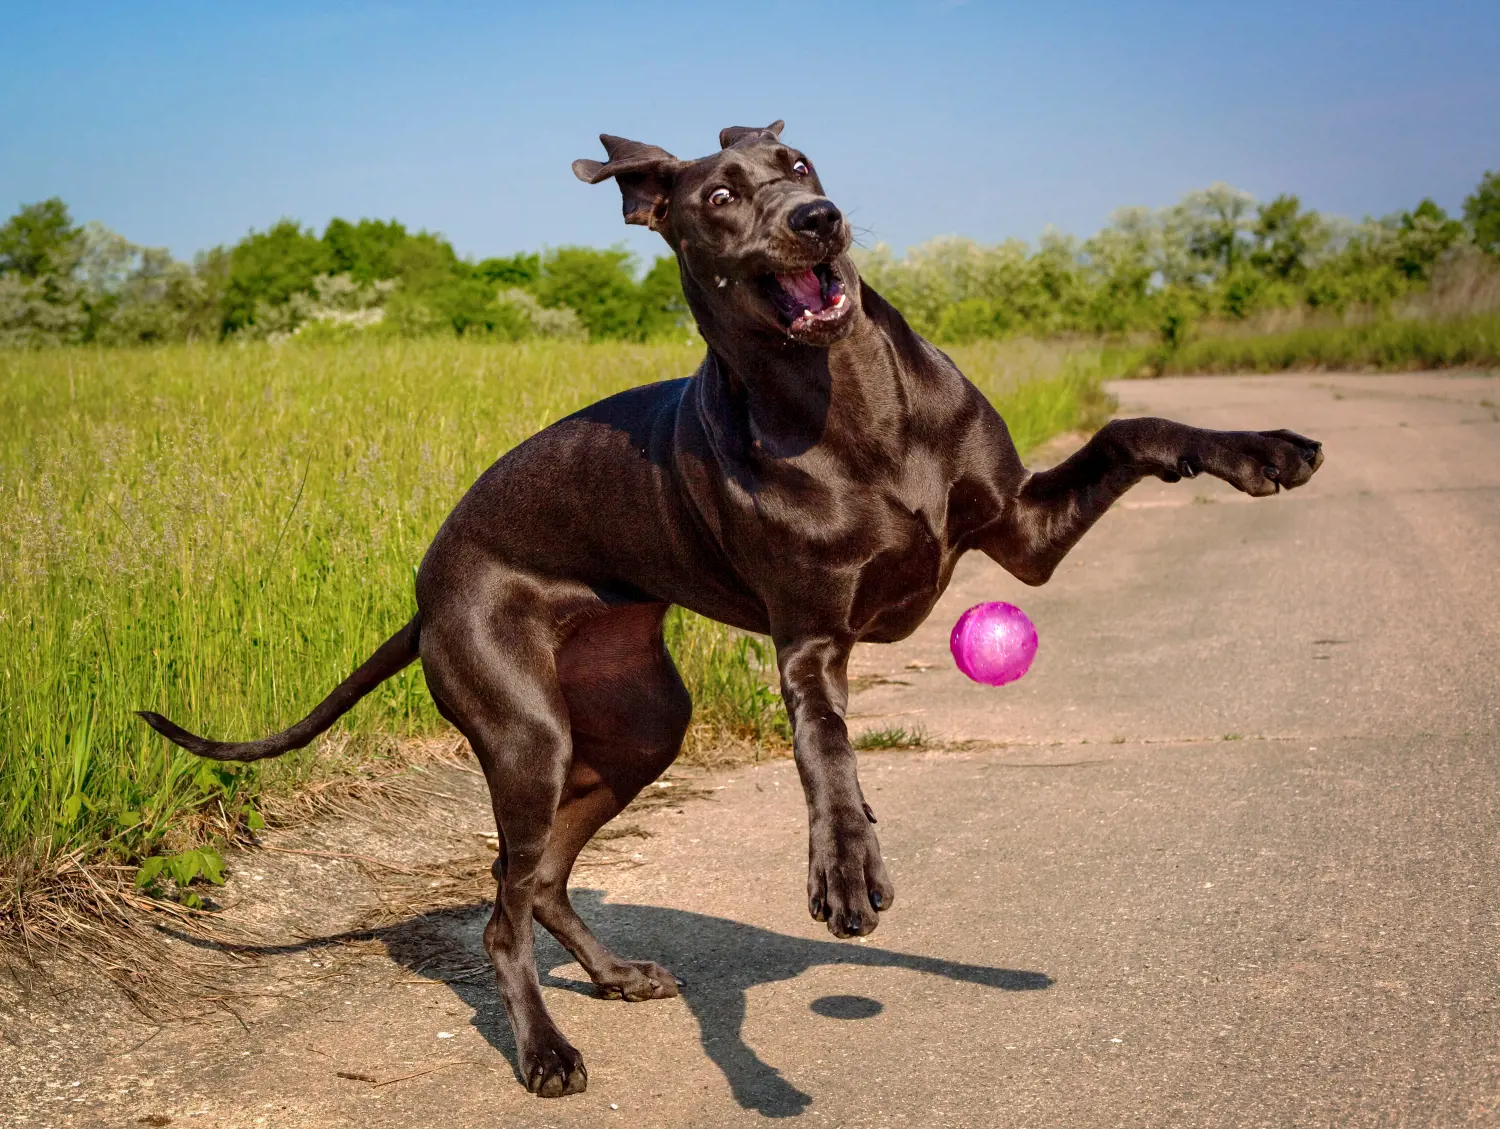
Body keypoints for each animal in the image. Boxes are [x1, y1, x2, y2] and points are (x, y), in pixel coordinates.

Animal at [141, 121, 1326, 1091]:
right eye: (718, 196)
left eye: (798, 162)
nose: (818, 218)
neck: (852, 401)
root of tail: (427, 586)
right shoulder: (811, 640)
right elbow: (829, 751)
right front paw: (845, 865)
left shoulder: (1024, 533)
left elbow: (1137, 429)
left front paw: (1264, 449)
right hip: (524, 732)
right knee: (500, 909)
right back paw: (545, 1049)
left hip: (640, 726)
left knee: (545, 877)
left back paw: (613, 973)